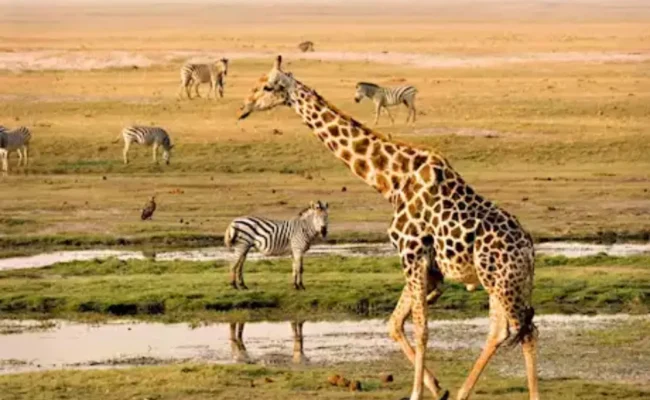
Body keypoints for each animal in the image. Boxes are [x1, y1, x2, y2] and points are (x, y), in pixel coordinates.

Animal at [238, 55, 539, 400]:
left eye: (267, 86)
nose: (243, 106)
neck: (391, 181)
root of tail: (530, 252)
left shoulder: (411, 252)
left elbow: (420, 330)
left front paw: (417, 393)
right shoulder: (425, 265)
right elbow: (394, 324)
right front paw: (438, 388)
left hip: (502, 281)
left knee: (526, 331)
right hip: (498, 282)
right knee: (502, 330)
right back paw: (463, 392)